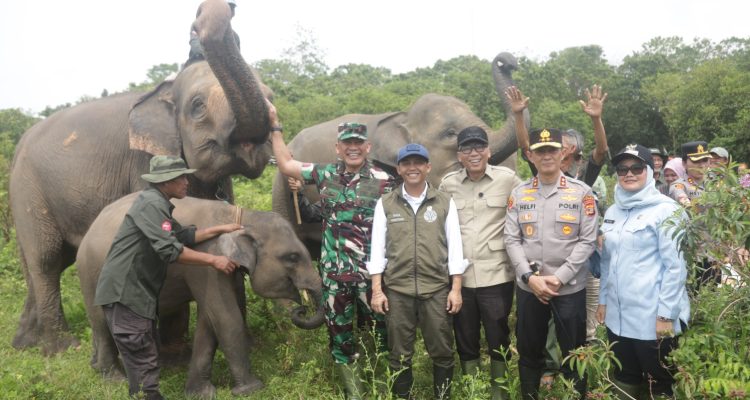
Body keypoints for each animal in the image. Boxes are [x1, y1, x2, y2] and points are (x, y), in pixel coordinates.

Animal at [9, 0, 272, 355]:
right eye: (198, 106)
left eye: (271, 96)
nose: (216, 8)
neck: (165, 89)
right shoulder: (143, 165)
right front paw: (176, 351)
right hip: (28, 189)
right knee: (46, 259)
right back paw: (62, 349)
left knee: (40, 261)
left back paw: (24, 343)